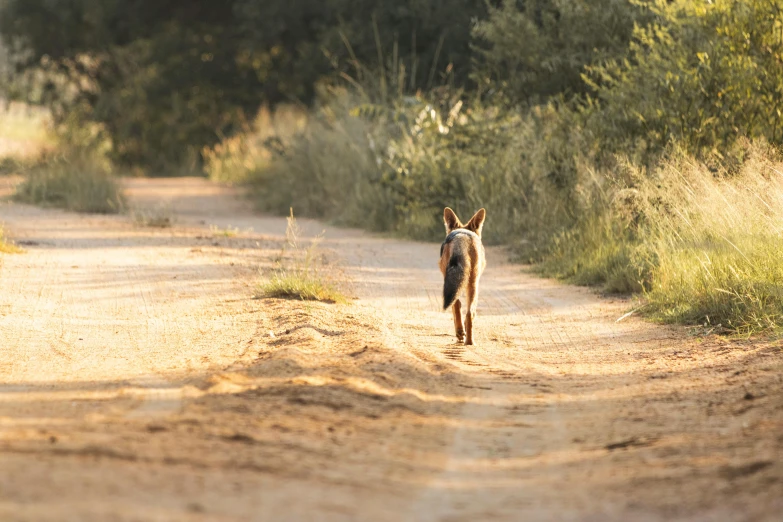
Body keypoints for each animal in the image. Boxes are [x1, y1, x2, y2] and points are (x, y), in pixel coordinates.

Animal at [438, 205, 486, 344]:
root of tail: (463, 238)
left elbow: (455, 309)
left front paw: (459, 332)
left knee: (458, 306)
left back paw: (461, 334)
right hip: (473, 284)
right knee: (470, 314)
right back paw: (469, 342)